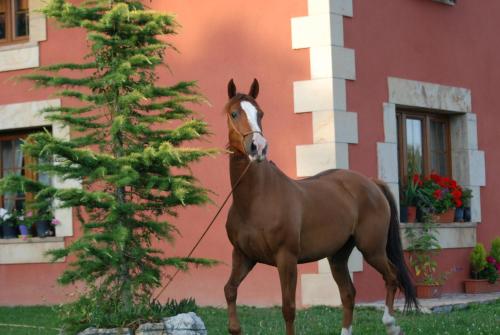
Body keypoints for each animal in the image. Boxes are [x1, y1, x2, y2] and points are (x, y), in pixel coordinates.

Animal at [224, 79, 418, 335]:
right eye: (234, 113)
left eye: (260, 113)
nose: (258, 147)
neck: (257, 199)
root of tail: (371, 183)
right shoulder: (243, 255)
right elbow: (230, 290)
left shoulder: (286, 259)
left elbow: (288, 308)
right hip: (338, 256)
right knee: (348, 294)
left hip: (372, 249)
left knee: (392, 276)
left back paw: (391, 324)